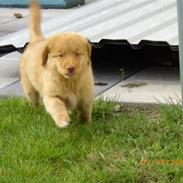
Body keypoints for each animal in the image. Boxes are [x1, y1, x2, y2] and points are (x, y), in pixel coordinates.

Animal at [20, 0, 94, 128]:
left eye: (77, 54)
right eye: (60, 55)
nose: (70, 68)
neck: (70, 82)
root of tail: (37, 40)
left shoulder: (86, 95)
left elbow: (85, 110)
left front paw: (86, 124)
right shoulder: (51, 95)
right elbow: (57, 106)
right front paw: (62, 120)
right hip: (29, 87)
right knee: (34, 101)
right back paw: (36, 112)